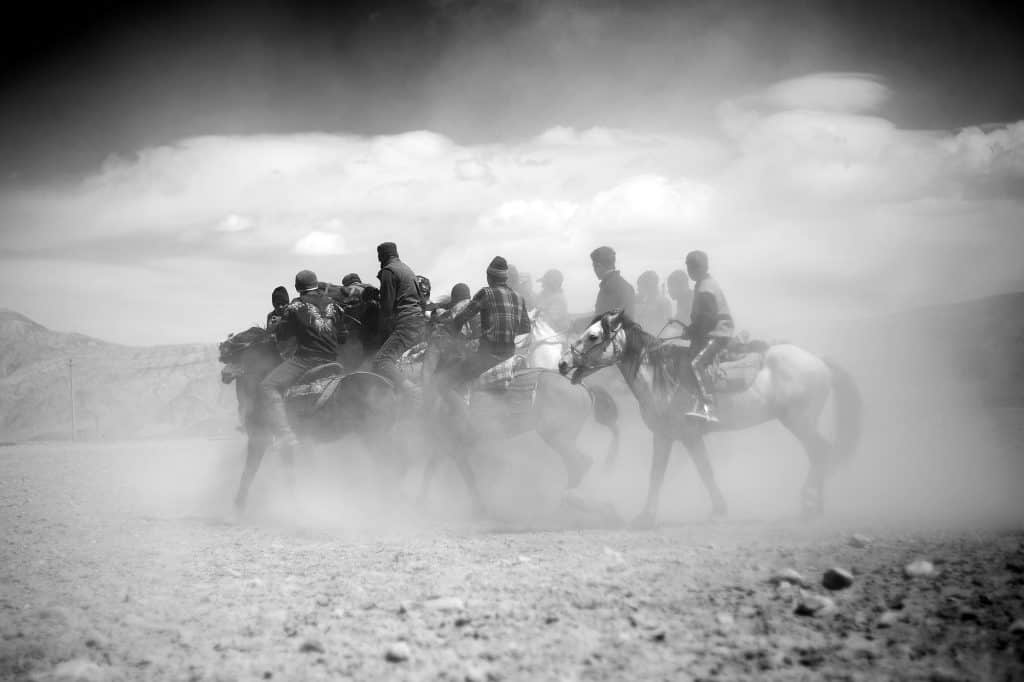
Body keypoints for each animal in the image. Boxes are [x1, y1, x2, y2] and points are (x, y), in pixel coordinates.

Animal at [219, 327, 399, 512]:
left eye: (242, 339)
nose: (222, 349)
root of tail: (389, 388)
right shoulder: (286, 445)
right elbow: (288, 474)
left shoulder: (259, 438)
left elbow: (248, 473)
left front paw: (238, 508)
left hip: (374, 436)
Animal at [565, 307, 860, 524]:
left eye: (593, 336)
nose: (563, 363)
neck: (662, 377)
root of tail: (817, 359)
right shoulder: (674, 436)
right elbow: (677, 472)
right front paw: (654, 515)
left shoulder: (680, 435)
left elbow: (689, 471)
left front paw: (650, 516)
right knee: (820, 453)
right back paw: (815, 504)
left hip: (800, 422)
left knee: (820, 451)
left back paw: (811, 504)